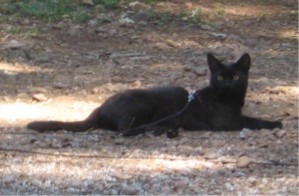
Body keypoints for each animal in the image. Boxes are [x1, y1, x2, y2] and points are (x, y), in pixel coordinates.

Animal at [27, 53, 282, 136]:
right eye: (220, 76)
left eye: (236, 76)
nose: (228, 83)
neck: (228, 99)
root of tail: (98, 108)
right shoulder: (227, 121)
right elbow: (253, 121)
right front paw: (275, 123)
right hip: (144, 104)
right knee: (125, 130)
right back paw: (160, 130)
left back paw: (167, 129)